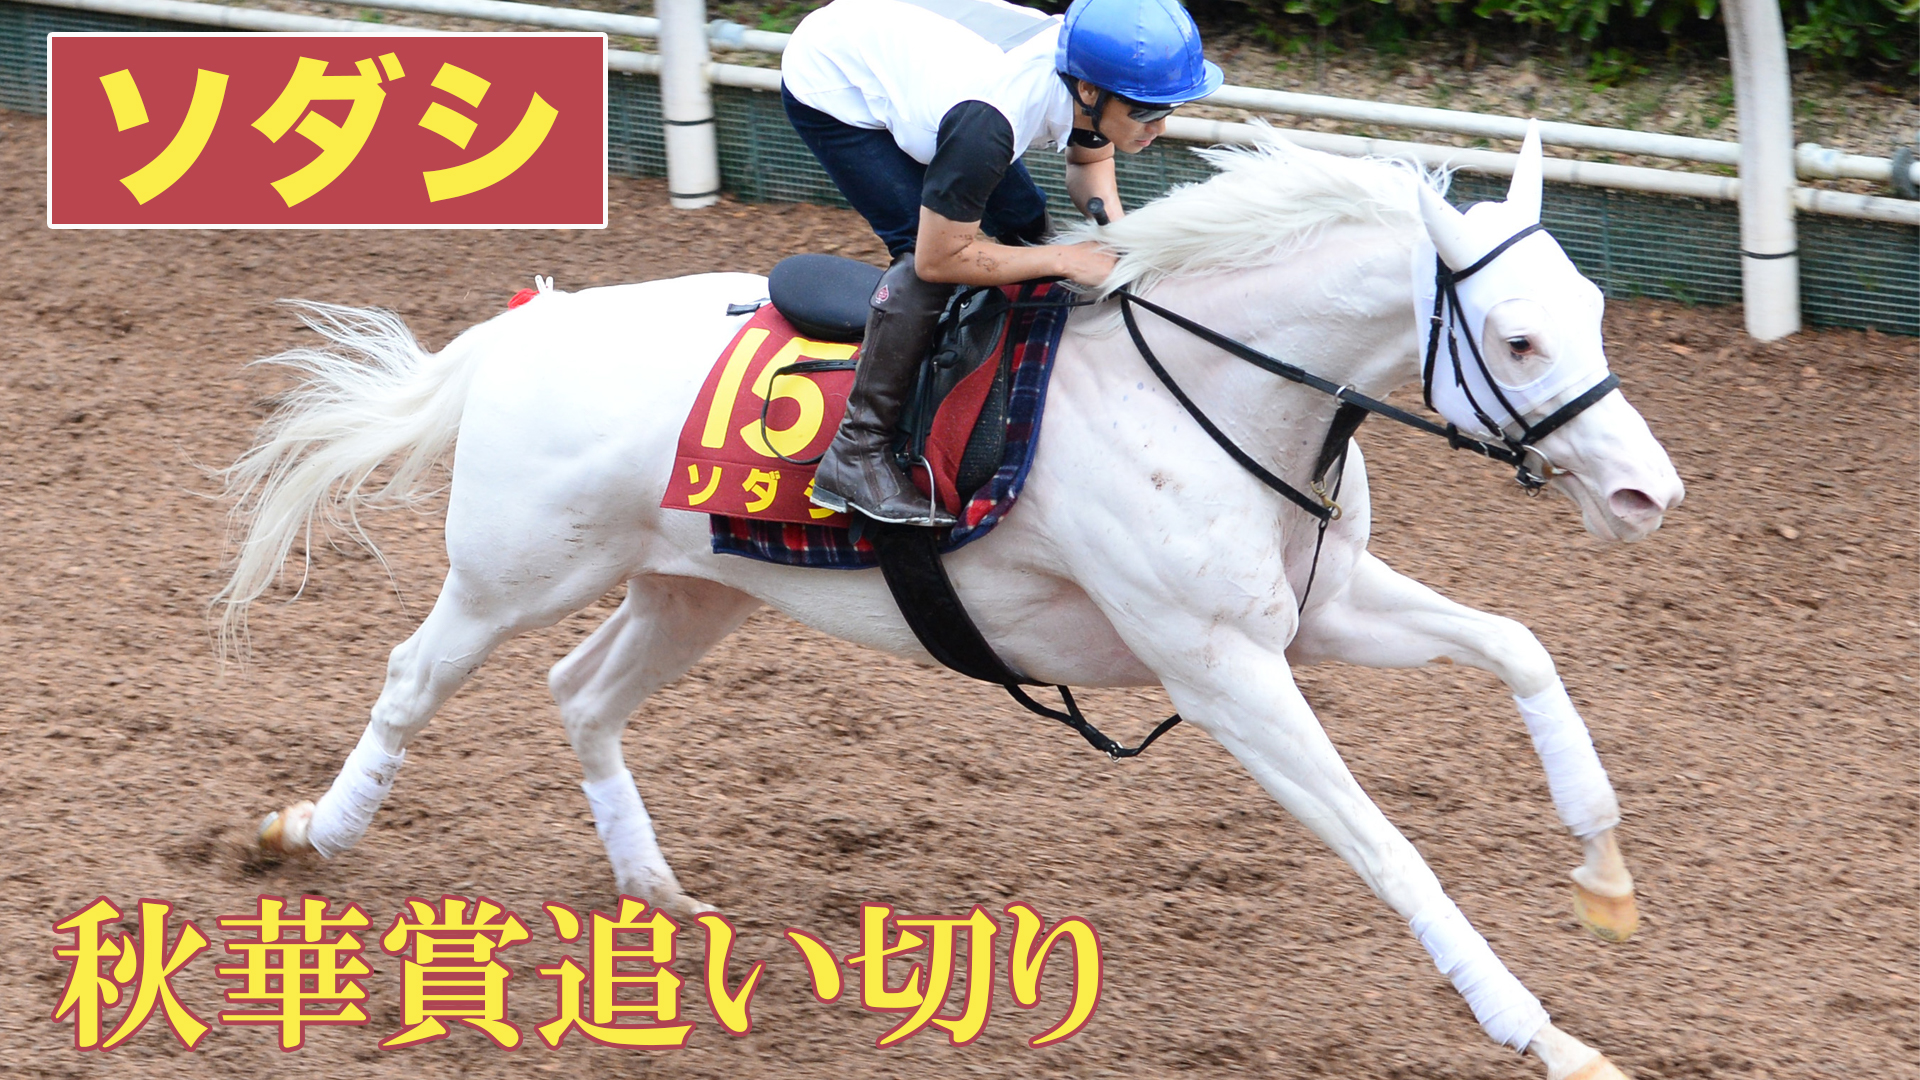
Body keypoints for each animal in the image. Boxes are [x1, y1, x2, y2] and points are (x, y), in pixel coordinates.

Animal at [223, 128, 1682, 1080]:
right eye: (1518, 339)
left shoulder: (1316, 614)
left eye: (1593, 308)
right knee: (415, 678)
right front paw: (1539, 1029)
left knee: (580, 694)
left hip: (696, 587)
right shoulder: (1221, 669)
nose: (1645, 494)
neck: (1204, 390)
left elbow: (1521, 648)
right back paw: (307, 835)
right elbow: (1391, 849)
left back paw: (656, 893)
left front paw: (1604, 871)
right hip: (515, 572)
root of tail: (528, 325)